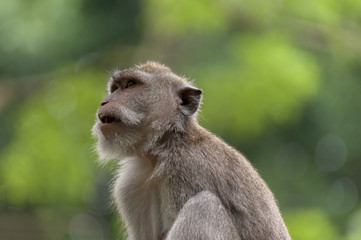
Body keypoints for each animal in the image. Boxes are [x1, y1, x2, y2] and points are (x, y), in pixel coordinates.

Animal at [91, 62, 292, 240]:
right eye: (115, 88)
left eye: (131, 84)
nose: (104, 102)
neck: (164, 147)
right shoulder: (130, 186)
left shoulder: (188, 169)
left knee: (204, 205)